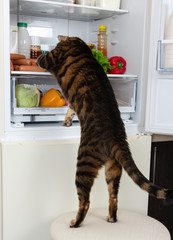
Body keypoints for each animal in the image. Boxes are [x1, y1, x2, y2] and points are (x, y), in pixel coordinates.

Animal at [36, 36, 173, 228]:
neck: (80, 45)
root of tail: (118, 138)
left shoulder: (52, 58)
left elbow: (43, 58)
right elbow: (70, 108)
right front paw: (67, 121)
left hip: (84, 164)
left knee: (85, 201)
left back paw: (75, 223)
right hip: (113, 169)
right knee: (114, 197)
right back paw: (111, 218)